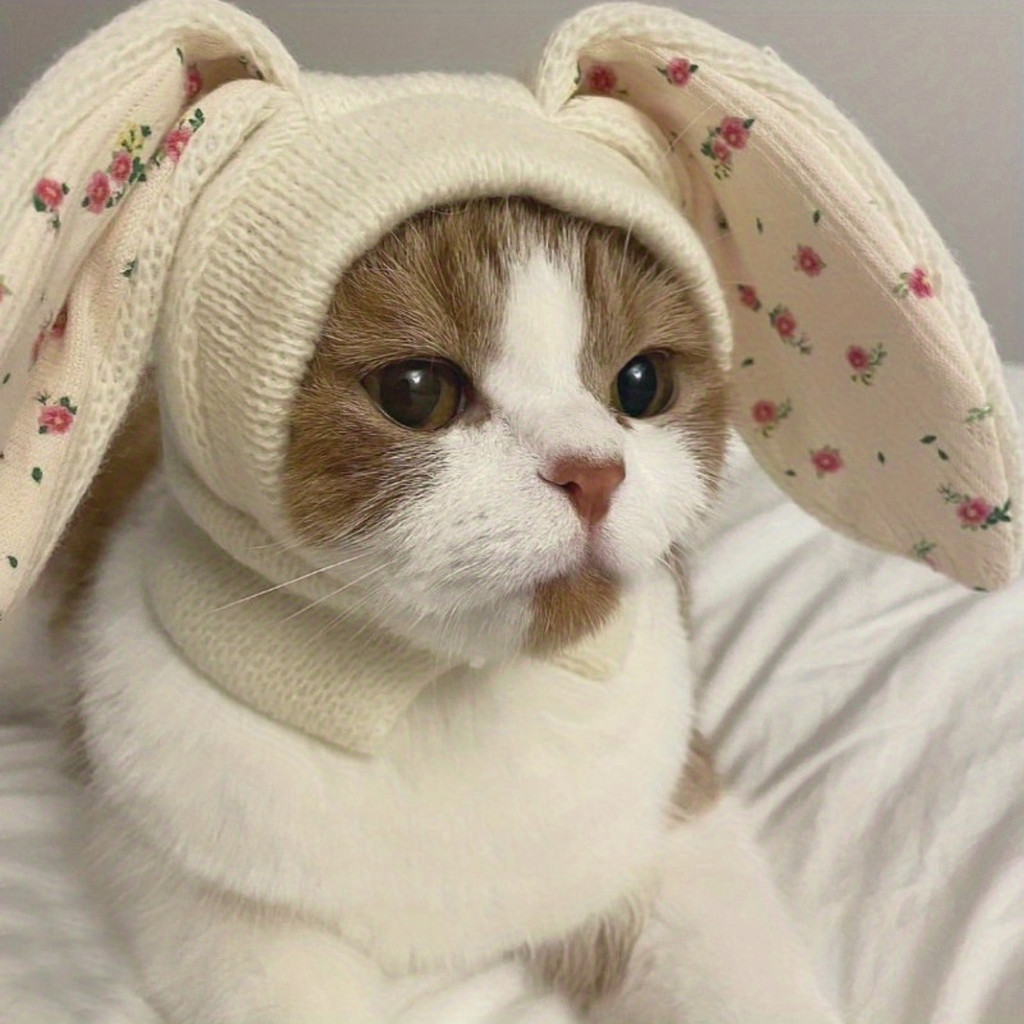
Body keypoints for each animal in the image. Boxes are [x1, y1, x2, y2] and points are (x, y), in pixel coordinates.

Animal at [0, 1, 1019, 1022]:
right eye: (416, 391)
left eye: (642, 384)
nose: (592, 474)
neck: (444, 698)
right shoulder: (226, 917)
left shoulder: (671, 835)